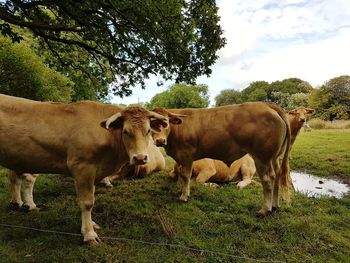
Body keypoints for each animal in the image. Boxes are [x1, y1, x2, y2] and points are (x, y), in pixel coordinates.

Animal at [0, 94, 168, 245]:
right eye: (126, 131)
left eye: (148, 131)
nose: (140, 158)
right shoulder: (83, 168)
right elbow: (87, 202)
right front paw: (89, 234)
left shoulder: (93, 172)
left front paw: (91, 224)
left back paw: (20, 203)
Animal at [152, 102, 292, 217]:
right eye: (151, 124)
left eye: (166, 123)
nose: (160, 141)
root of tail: (267, 105)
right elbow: (181, 176)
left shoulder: (187, 155)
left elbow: (186, 176)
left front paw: (184, 196)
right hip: (274, 158)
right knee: (276, 176)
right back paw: (274, 205)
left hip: (262, 157)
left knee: (267, 180)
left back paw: (264, 209)